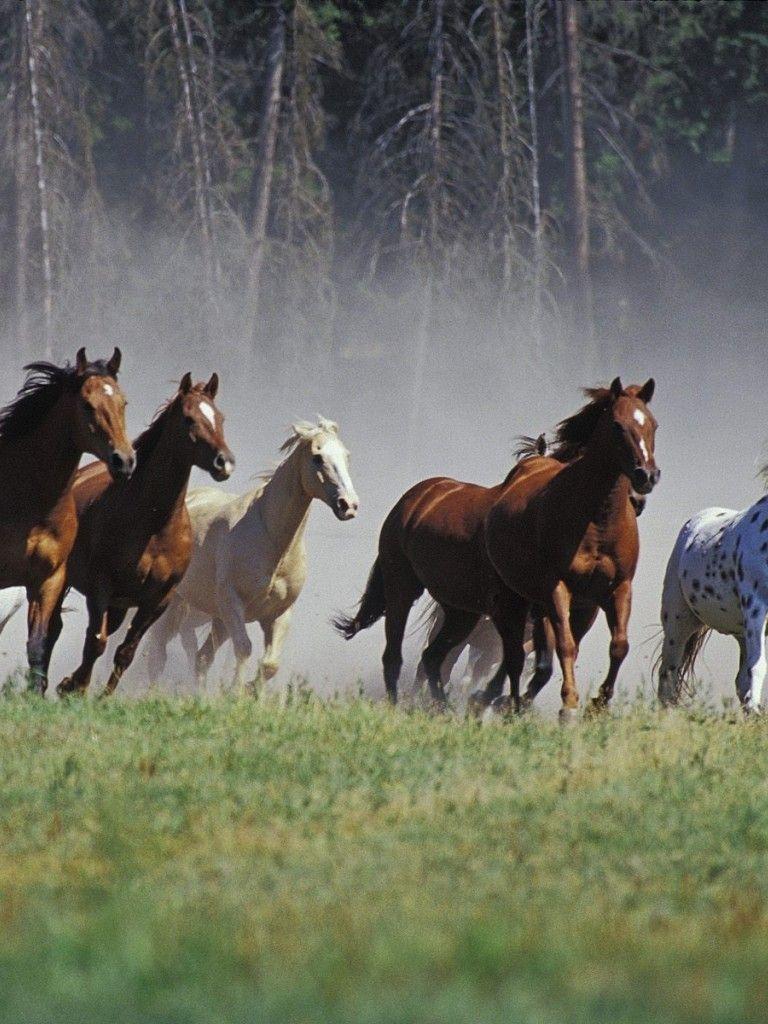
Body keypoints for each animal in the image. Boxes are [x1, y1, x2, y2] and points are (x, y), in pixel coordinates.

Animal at [55, 373, 234, 697]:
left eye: (220, 417)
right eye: (189, 419)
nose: (223, 462)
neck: (154, 527)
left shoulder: (158, 600)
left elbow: (126, 652)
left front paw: (100, 696)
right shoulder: (101, 589)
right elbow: (96, 643)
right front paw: (77, 689)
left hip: (120, 605)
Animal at [144, 417, 358, 693]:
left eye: (346, 455)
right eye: (317, 457)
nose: (348, 505)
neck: (273, 544)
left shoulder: (278, 614)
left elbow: (270, 665)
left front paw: (250, 690)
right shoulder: (233, 603)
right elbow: (244, 648)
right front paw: (236, 692)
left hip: (217, 618)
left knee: (201, 658)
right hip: (174, 605)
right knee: (158, 655)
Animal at [335, 378, 658, 719]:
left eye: (654, 425)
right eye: (617, 426)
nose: (645, 480)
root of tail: (415, 498)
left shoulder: (604, 595)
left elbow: (612, 646)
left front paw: (593, 704)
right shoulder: (547, 595)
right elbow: (554, 651)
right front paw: (561, 706)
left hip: (461, 611)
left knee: (433, 658)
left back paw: (444, 706)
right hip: (403, 588)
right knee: (397, 656)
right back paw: (400, 706)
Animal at [657, 490, 768, 712]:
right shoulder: (756, 606)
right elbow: (759, 664)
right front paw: (755, 707)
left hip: (741, 633)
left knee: (741, 680)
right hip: (677, 623)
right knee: (668, 674)